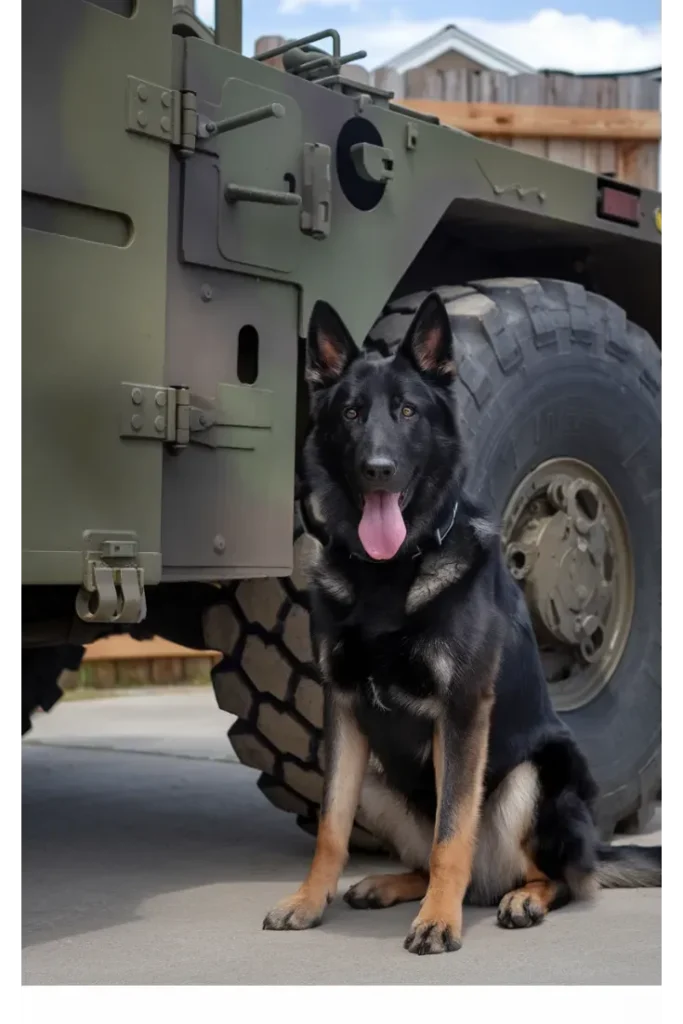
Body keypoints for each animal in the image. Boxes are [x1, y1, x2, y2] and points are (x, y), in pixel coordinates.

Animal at [264, 292, 663, 954]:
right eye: (350, 413)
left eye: (407, 411)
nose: (378, 468)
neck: (389, 574)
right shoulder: (343, 712)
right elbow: (330, 828)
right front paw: (307, 900)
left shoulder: (462, 712)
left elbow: (453, 830)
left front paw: (439, 922)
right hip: (376, 778)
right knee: (431, 856)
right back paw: (393, 885)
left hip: (536, 776)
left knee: (559, 877)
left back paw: (520, 898)